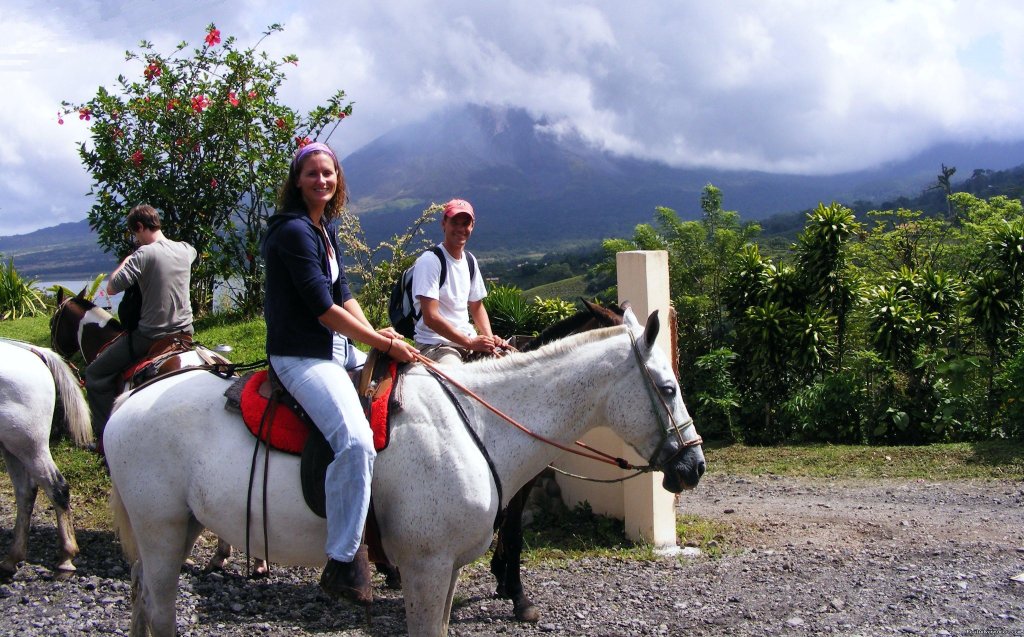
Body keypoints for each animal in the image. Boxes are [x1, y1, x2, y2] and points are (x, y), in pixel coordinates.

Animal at [0, 340, 92, 577]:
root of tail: (33, 352)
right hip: (13, 447)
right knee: (25, 492)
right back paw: (12, 557)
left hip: (30, 447)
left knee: (57, 488)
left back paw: (66, 558)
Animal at [108, 309, 708, 634]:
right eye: (668, 388)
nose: (694, 465)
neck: (481, 425)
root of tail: (129, 400)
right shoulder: (425, 564)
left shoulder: (447, 568)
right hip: (161, 531)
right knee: (160, 612)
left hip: (178, 528)